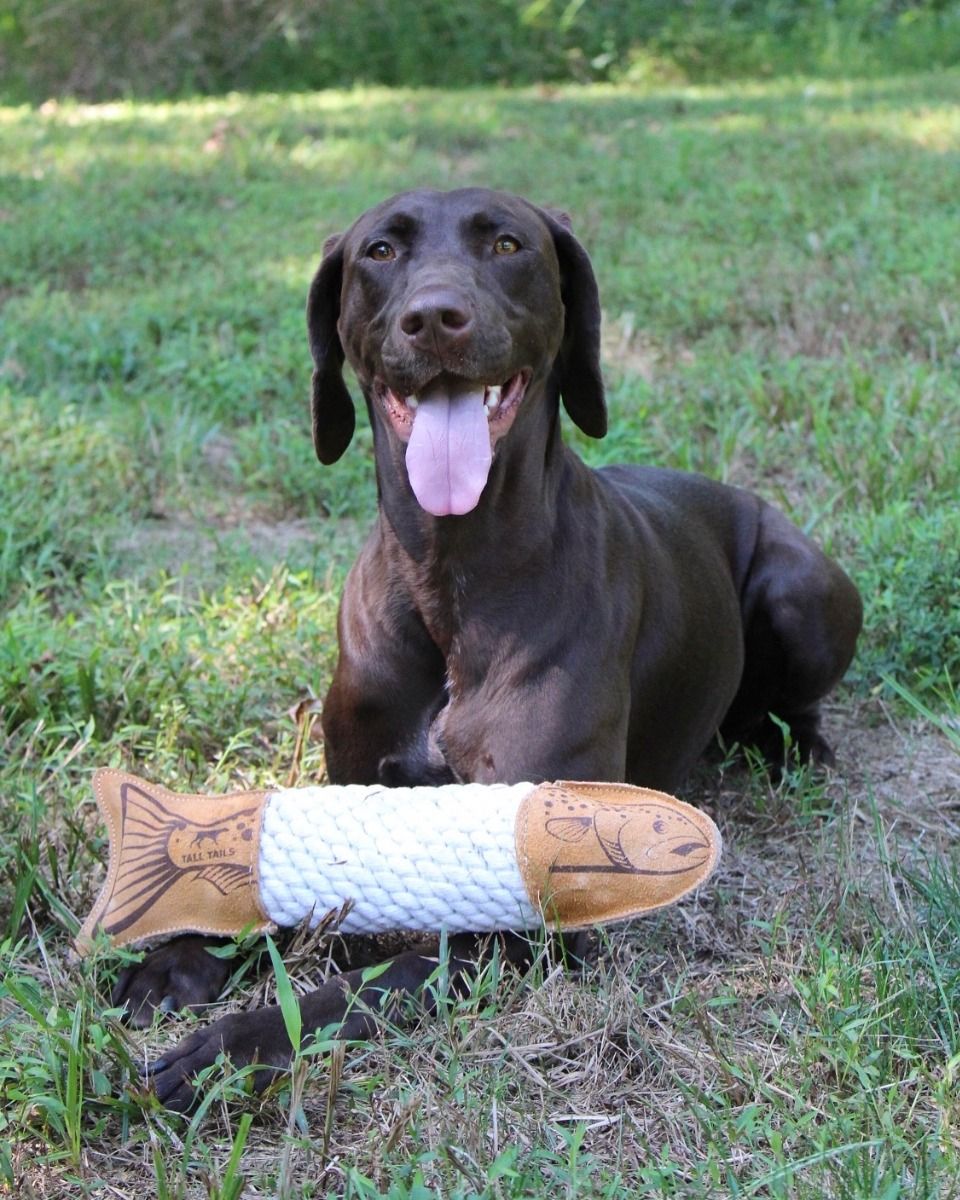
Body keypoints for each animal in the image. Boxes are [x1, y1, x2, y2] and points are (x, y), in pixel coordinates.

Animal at [120, 184, 864, 1104]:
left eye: (507, 243)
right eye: (380, 251)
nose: (436, 319)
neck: (453, 573)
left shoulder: (525, 917)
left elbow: (366, 984)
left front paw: (225, 1047)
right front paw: (180, 956)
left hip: (798, 595)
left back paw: (793, 744)